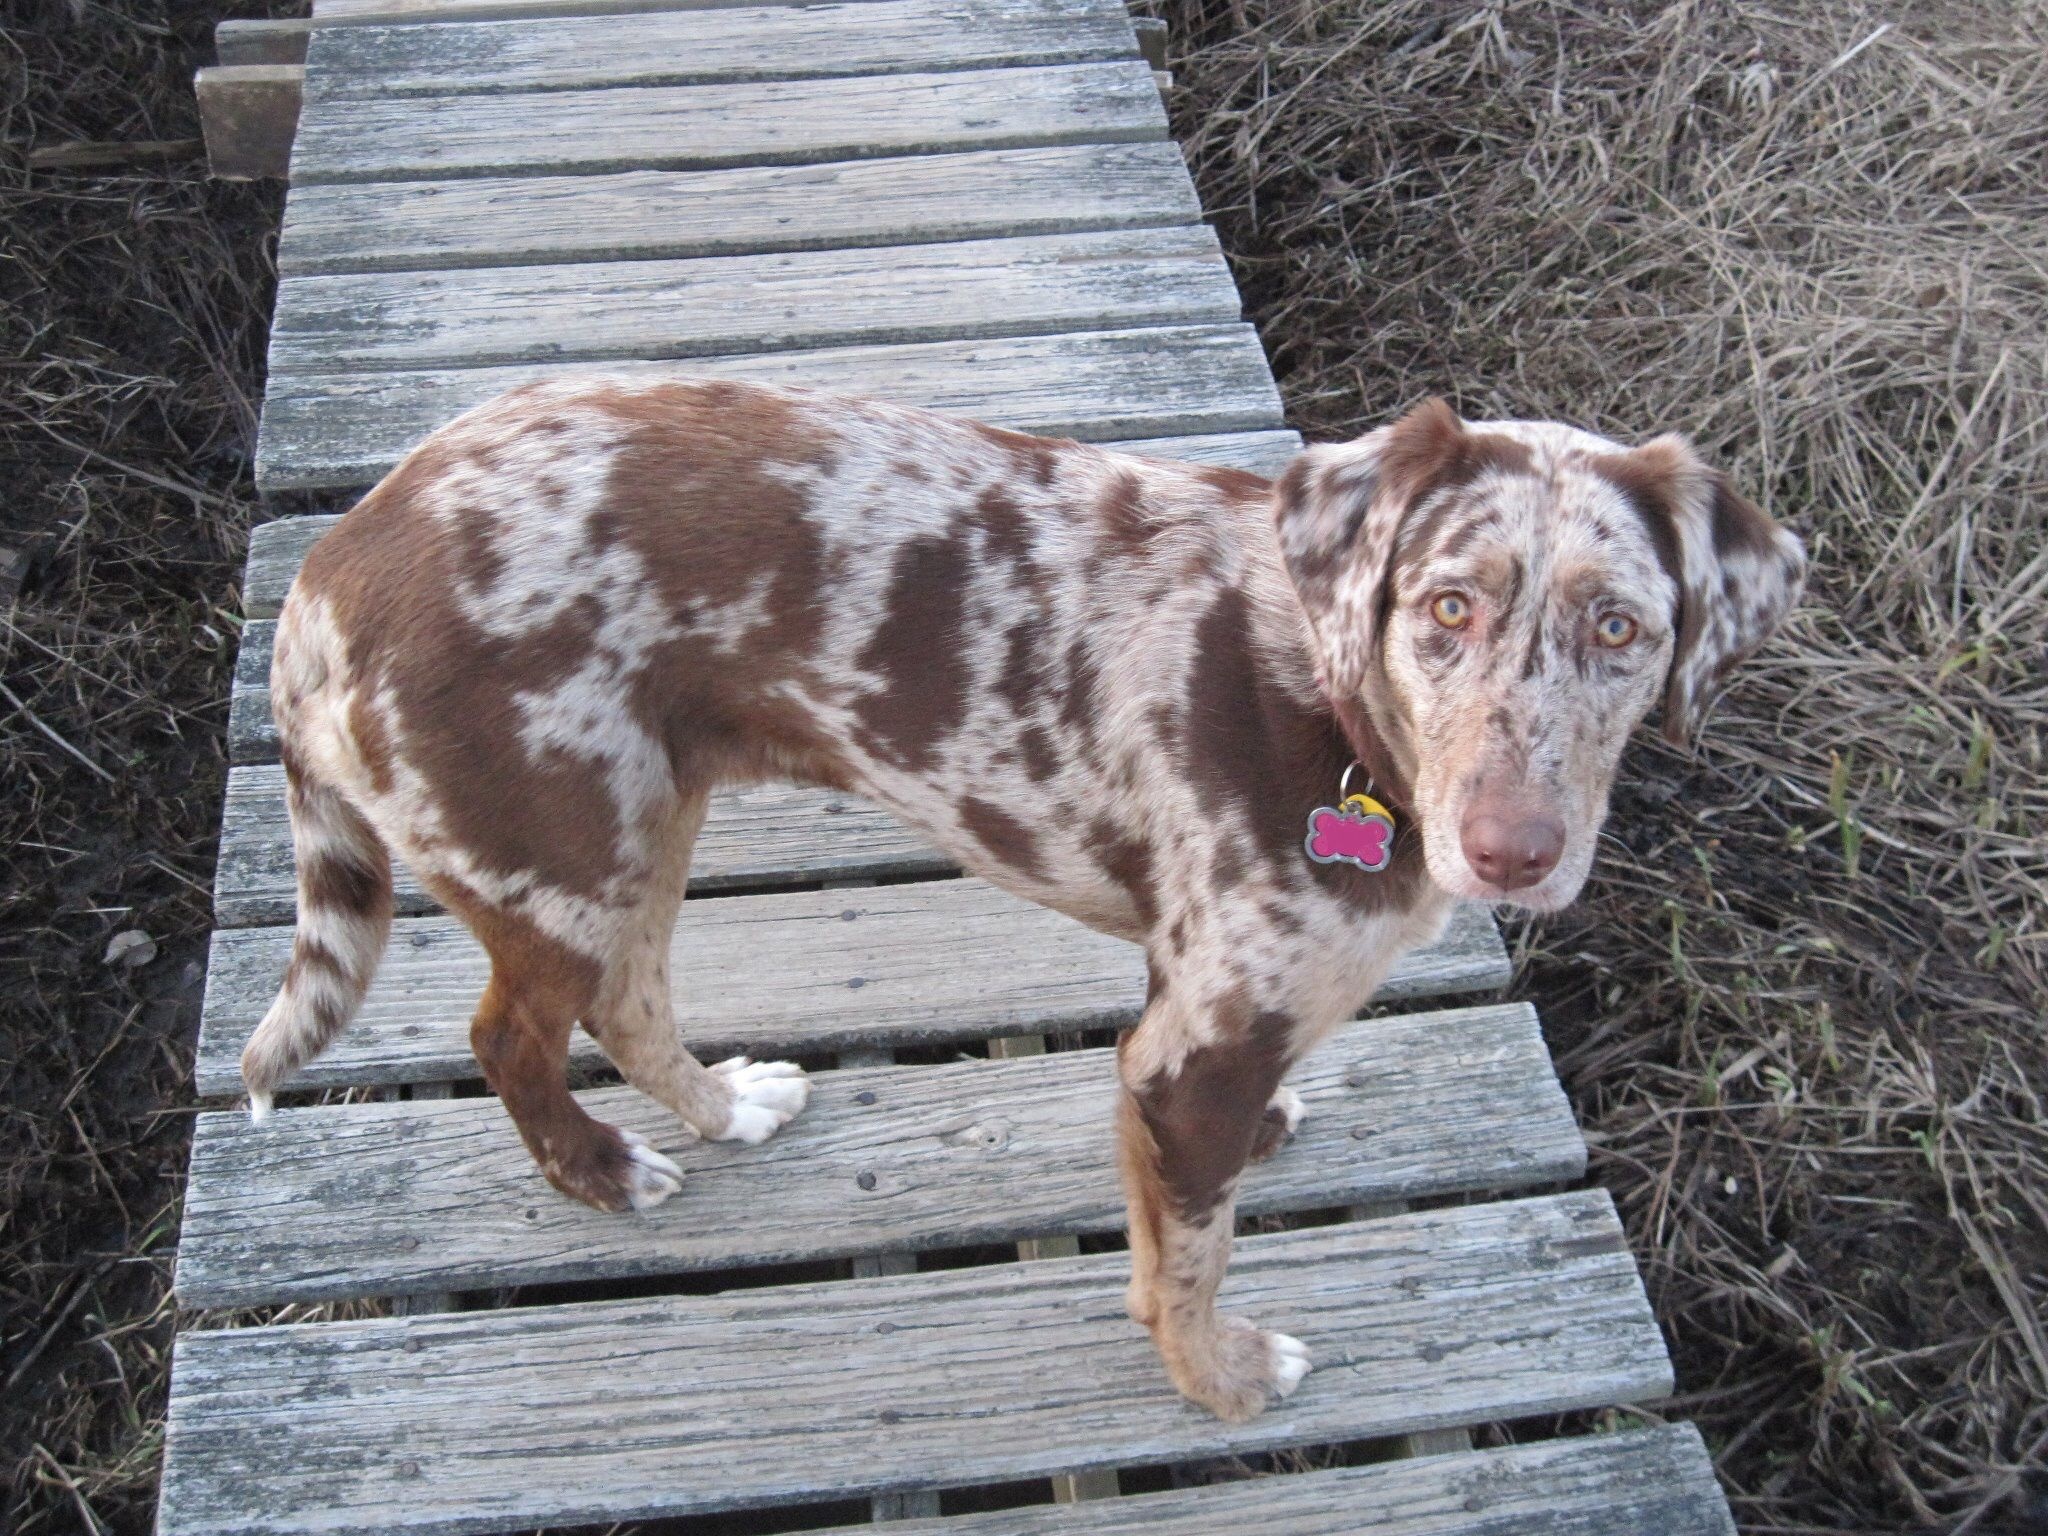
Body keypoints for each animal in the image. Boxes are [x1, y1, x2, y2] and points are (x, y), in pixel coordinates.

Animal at [247, 382, 1802, 1417]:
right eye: (1445, 607)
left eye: (1620, 627)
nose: (1511, 852)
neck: (1331, 713)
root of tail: (327, 571)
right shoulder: (1184, 1065)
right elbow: (1187, 1263)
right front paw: (1222, 1383)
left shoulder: (1197, 1011)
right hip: (562, 854)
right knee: (508, 1037)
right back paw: (604, 1170)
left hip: (643, 817)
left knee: (629, 1003)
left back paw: (723, 1107)